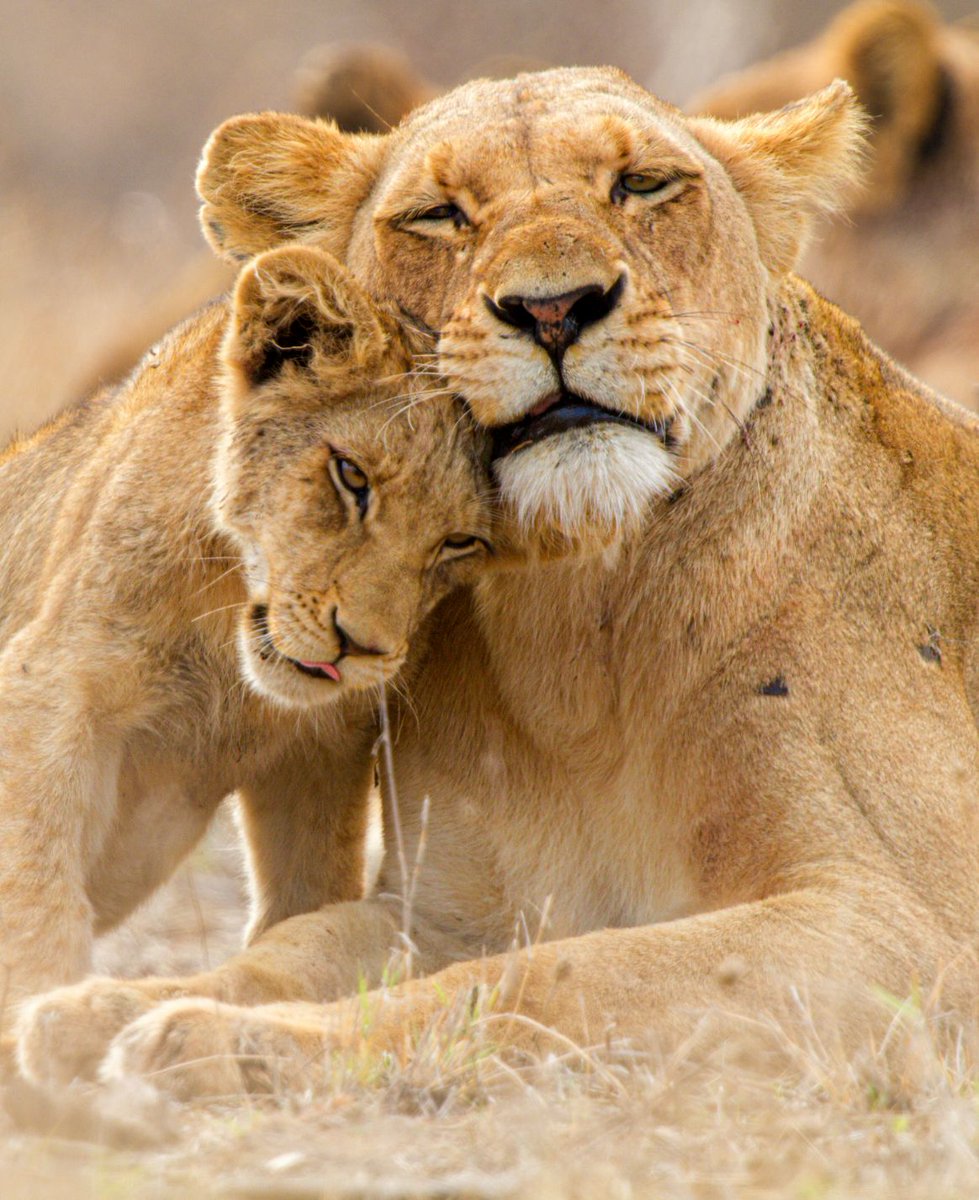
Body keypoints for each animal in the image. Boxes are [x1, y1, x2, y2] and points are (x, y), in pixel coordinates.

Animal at [0, 242, 491, 1015]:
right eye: (351, 475)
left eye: (460, 541)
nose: (362, 647)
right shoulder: (49, 684)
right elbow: (34, 888)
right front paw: (34, 1011)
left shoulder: (321, 753)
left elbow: (306, 899)